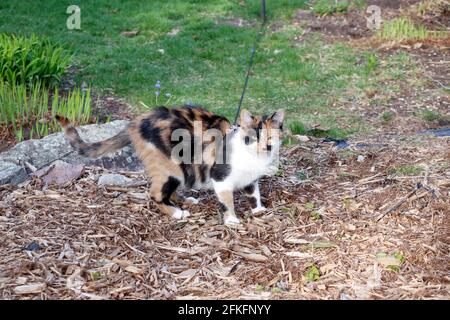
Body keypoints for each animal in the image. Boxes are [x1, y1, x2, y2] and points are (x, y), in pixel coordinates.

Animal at [54, 105, 284, 225]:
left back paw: (185, 200)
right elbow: (227, 200)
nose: (266, 146)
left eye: (270, 136)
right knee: (155, 194)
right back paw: (176, 213)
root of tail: (135, 122)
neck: (253, 158)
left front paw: (259, 210)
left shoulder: (251, 179)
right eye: (252, 137)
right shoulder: (220, 177)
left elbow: (254, 193)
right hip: (170, 166)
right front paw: (232, 219)